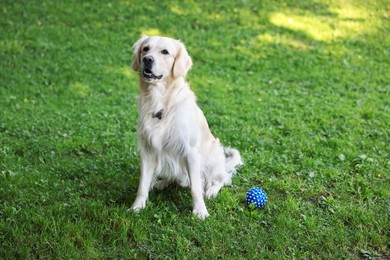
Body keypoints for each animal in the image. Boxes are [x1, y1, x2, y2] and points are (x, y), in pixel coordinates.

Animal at [129, 36, 242, 219]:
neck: (160, 100)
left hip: (213, 157)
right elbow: (143, 183)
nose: (147, 59)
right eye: (145, 48)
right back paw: (162, 182)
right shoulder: (147, 149)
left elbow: (196, 187)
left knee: (222, 178)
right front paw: (137, 206)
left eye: (165, 52)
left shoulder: (191, 151)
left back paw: (211, 190)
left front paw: (200, 210)